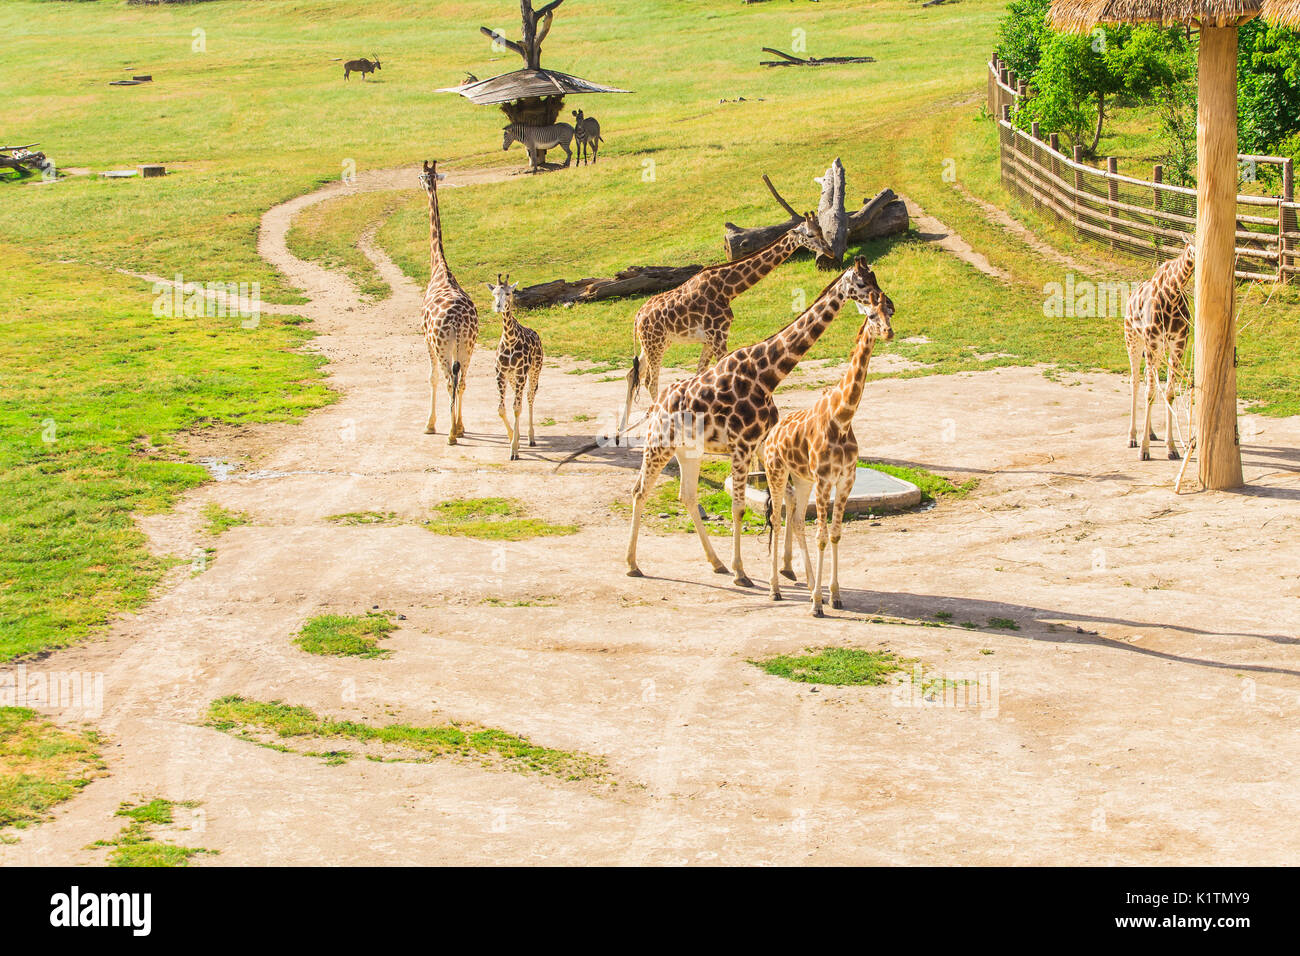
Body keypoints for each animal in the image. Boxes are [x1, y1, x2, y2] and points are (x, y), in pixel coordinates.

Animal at [486, 275, 543, 461]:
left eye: (509, 293)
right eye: (494, 294)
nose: (498, 307)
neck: (510, 339)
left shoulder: (521, 373)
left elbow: (517, 408)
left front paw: (514, 450)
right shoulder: (501, 373)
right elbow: (501, 409)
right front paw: (513, 438)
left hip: (534, 370)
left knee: (530, 397)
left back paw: (531, 437)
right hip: (513, 378)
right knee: (521, 399)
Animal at [617, 214, 834, 442]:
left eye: (821, 231)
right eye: (810, 235)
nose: (829, 251)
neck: (728, 288)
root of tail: (637, 317)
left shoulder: (710, 339)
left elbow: (699, 375)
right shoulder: (718, 335)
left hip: (653, 344)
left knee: (632, 374)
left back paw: (622, 429)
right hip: (655, 344)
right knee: (649, 380)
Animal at [625, 257, 892, 586]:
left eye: (876, 278)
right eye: (863, 284)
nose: (890, 304)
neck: (767, 374)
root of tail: (656, 405)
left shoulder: (763, 444)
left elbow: (787, 501)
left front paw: (788, 568)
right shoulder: (741, 447)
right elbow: (739, 507)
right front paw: (742, 572)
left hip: (690, 451)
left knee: (686, 495)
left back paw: (716, 563)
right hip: (659, 444)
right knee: (640, 491)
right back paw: (633, 564)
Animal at [762, 285, 895, 616]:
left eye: (890, 311)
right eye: (871, 315)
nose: (888, 332)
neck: (842, 417)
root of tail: (771, 435)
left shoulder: (845, 479)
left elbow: (834, 534)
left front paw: (833, 596)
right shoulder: (825, 480)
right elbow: (821, 536)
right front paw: (817, 606)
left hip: (802, 479)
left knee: (797, 521)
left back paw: (812, 586)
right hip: (777, 472)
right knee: (777, 521)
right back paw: (775, 590)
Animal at [1124, 240, 1194, 461]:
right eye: (1191, 245)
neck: (1172, 295)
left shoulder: (1178, 344)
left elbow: (1169, 393)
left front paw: (1171, 448)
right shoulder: (1152, 342)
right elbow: (1150, 393)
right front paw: (1143, 450)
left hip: (1157, 350)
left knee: (1149, 380)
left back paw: (1152, 433)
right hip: (1134, 340)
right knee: (1136, 381)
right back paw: (1132, 437)